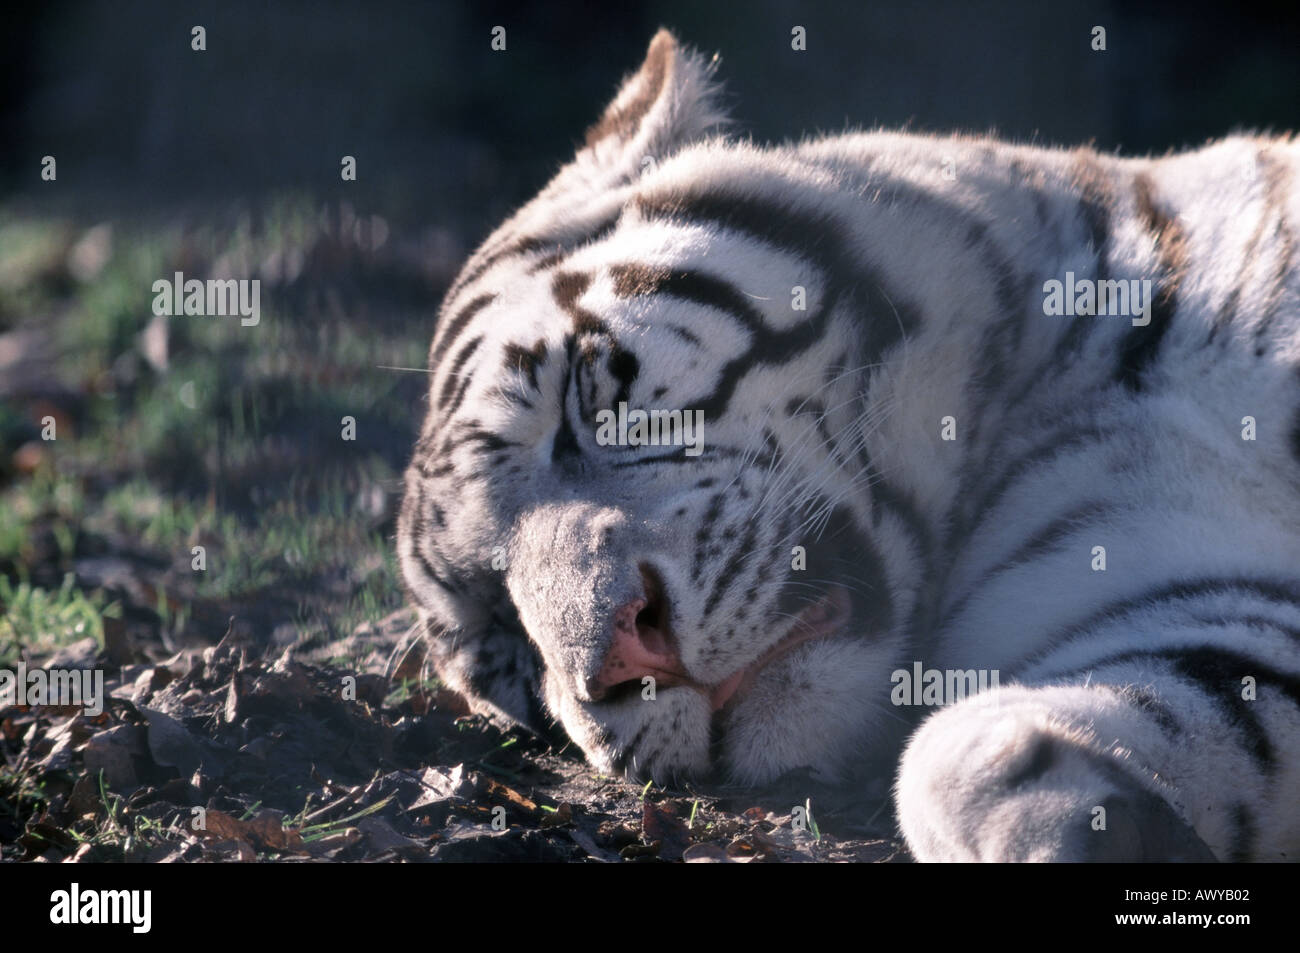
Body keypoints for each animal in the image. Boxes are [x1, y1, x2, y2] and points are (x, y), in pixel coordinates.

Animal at [395, 31, 1300, 863]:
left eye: (580, 399)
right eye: (503, 640)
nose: (624, 656)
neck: (1036, 393)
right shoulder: (1199, 594)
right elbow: (955, 757)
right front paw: (1093, 826)